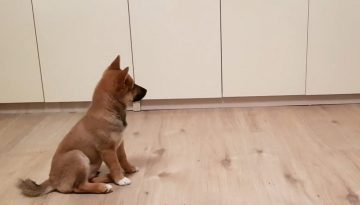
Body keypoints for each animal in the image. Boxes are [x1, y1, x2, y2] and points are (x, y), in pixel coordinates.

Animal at [16, 55, 146, 196]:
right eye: (132, 86)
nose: (147, 90)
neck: (109, 110)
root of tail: (52, 180)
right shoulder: (108, 150)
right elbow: (115, 164)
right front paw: (121, 179)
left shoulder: (119, 144)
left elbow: (123, 159)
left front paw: (130, 169)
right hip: (77, 156)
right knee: (79, 186)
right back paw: (104, 186)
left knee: (91, 179)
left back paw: (108, 177)